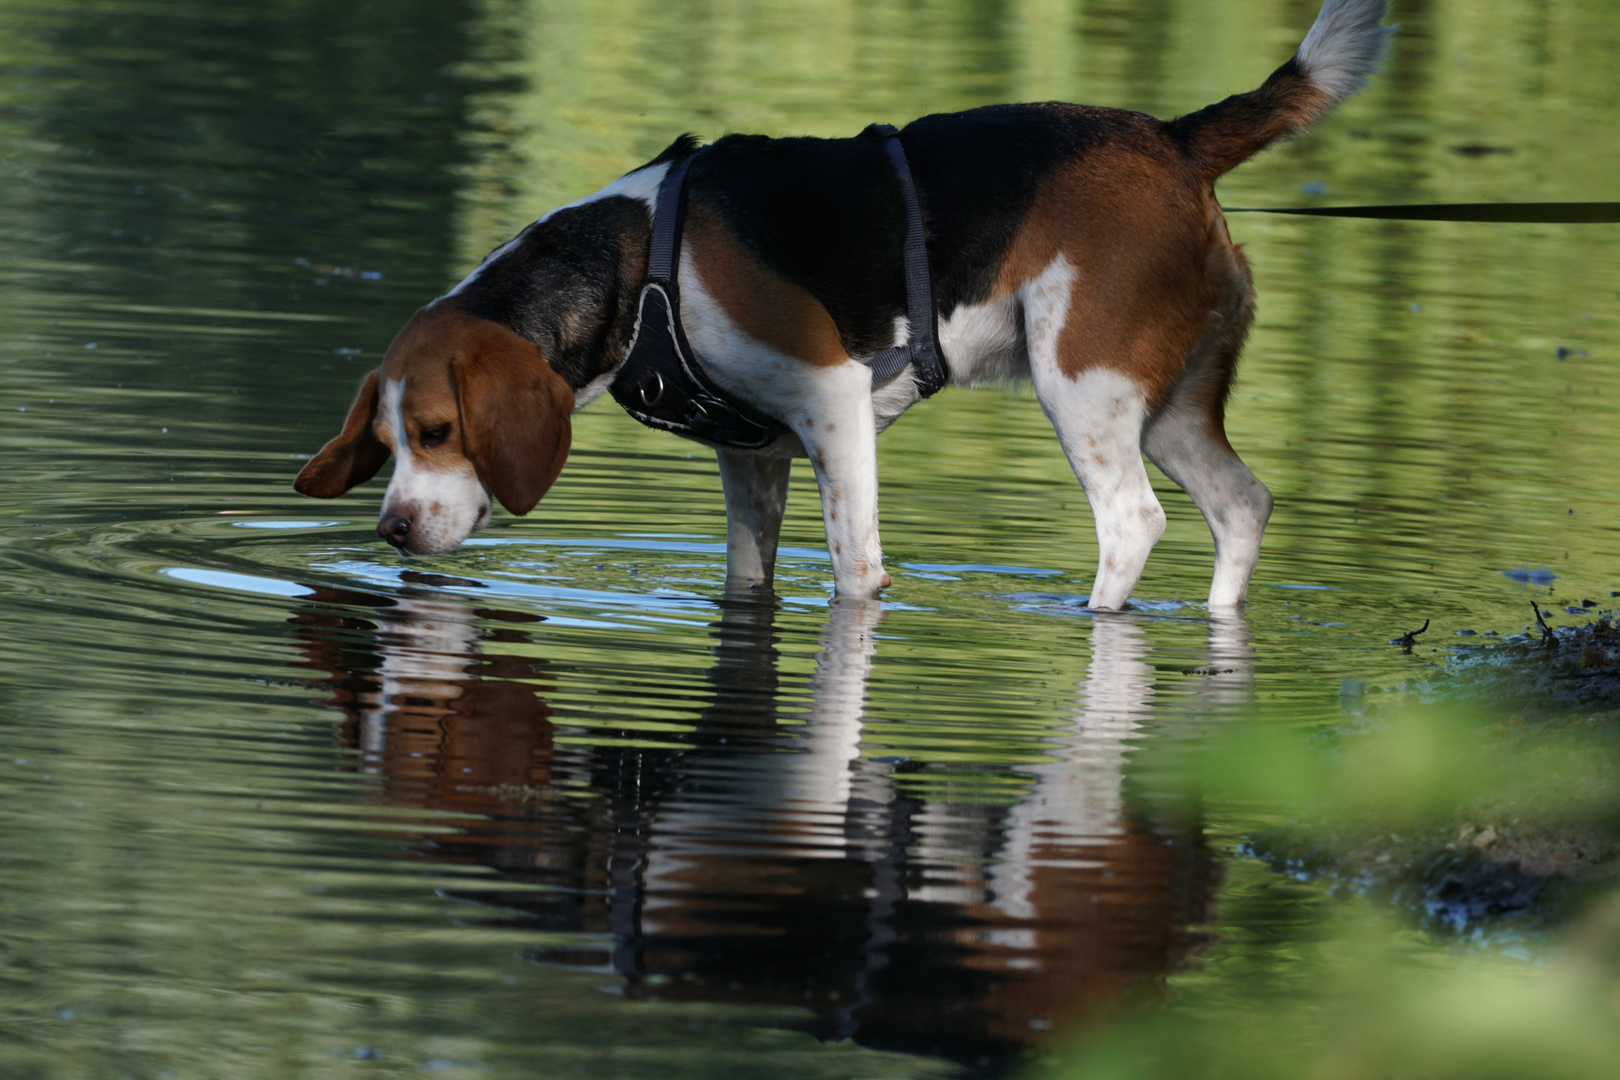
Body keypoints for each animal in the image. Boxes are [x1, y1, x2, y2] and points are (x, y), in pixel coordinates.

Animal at [298, 0, 1386, 608]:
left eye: (439, 432)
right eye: (386, 444)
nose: (391, 532)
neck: (638, 266)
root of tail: (1172, 138)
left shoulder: (832, 407)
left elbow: (857, 572)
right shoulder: (751, 460)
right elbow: (748, 578)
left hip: (1084, 385)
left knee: (1132, 525)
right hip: (1167, 405)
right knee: (1243, 507)